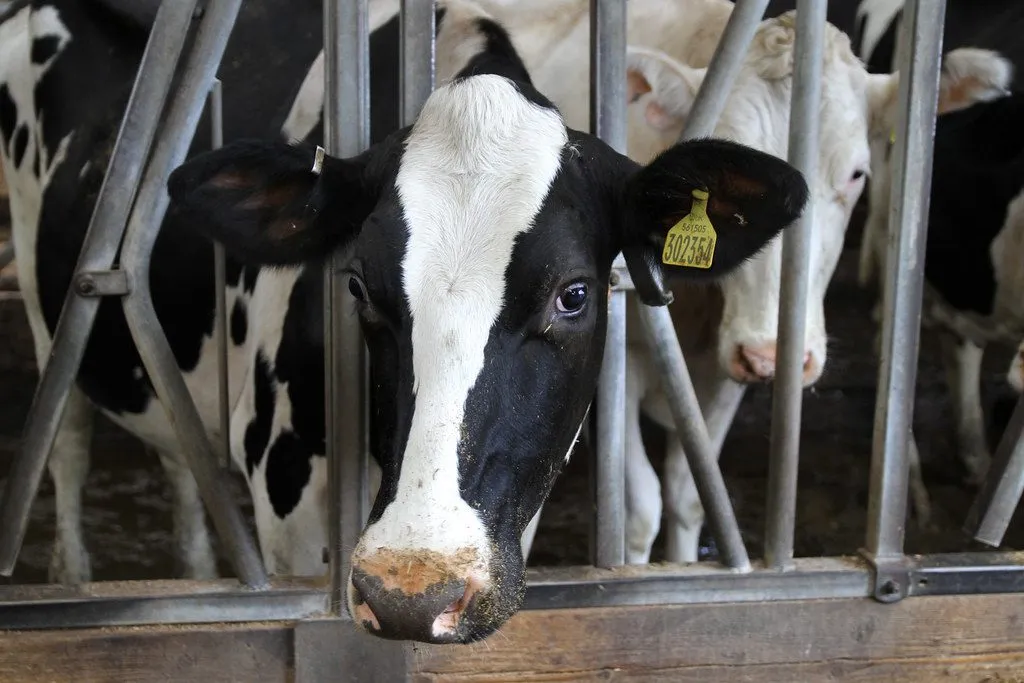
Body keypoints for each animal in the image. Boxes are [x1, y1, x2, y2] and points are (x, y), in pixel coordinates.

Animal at [2, 0, 809, 642]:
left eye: (575, 294)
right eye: (357, 285)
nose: (411, 594)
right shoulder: (284, 486)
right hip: (50, 311)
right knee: (65, 444)